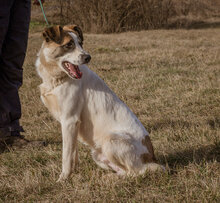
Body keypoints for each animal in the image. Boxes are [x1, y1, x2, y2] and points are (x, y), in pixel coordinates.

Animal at [35, 24, 164, 182]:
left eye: (80, 43)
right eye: (69, 45)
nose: (88, 57)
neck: (58, 79)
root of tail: (151, 159)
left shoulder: (70, 120)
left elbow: (66, 155)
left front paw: (63, 179)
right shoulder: (71, 125)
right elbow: (73, 153)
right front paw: (74, 173)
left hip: (111, 140)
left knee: (136, 172)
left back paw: (110, 178)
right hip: (97, 154)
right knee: (124, 171)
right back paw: (109, 176)